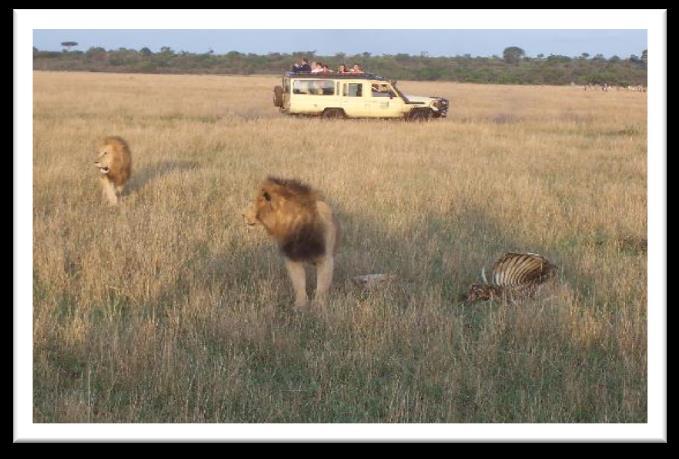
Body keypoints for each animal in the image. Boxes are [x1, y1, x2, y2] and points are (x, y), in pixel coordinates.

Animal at [244, 176, 340, 310]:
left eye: (256, 203)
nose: (243, 215)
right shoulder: (292, 258)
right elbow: (299, 284)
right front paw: (300, 305)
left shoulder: (325, 258)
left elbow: (322, 286)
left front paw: (318, 306)